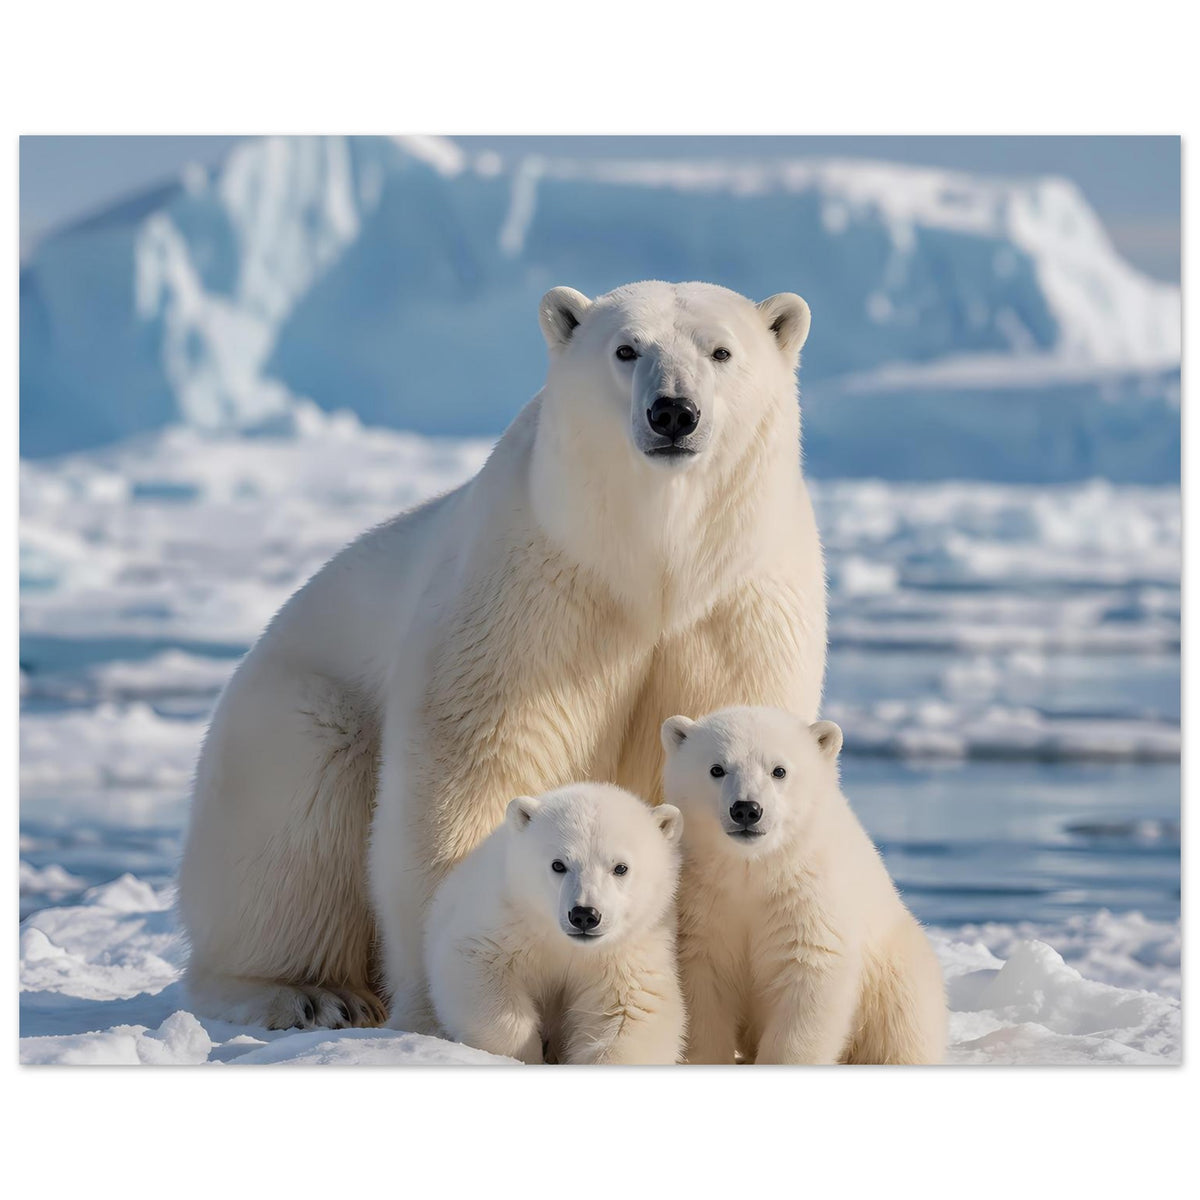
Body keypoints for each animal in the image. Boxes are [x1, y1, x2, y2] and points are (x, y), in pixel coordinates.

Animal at [178, 280, 828, 1032]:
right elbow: (477, 763)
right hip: (282, 717)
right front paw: (449, 1005)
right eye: (625, 348)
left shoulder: (738, 610)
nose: (673, 412)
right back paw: (309, 993)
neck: (652, 566)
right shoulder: (532, 595)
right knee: (299, 812)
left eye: (720, 351)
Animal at [424, 782, 686, 1064]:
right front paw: (523, 1056)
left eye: (620, 867)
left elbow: (631, 1010)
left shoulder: (627, 954)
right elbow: (477, 969)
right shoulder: (505, 922)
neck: (566, 945)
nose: (584, 915)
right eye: (558, 864)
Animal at [661, 707, 947, 1065]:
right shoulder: (703, 901)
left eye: (779, 770)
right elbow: (702, 991)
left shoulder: (809, 898)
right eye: (716, 768)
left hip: (894, 970)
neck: (753, 869)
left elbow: (808, 978)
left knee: (903, 1025)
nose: (746, 809)